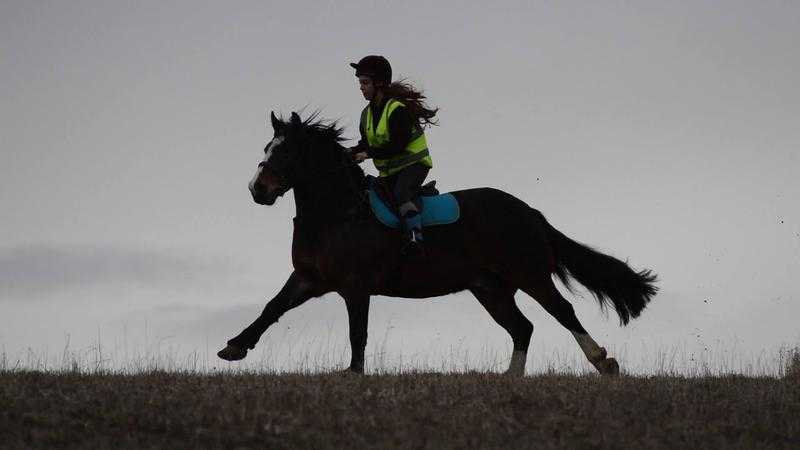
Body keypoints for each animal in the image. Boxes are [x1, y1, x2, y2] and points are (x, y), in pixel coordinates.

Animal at [217, 110, 656, 374]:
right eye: (266, 149)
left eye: (288, 151)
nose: (258, 189)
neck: (338, 213)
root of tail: (530, 213)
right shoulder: (308, 278)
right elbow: (272, 308)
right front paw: (234, 347)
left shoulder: (356, 288)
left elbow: (357, 332)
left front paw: (354, 374)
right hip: (490, 289)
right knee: (522, 328)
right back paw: (510, 377)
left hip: (529, 273)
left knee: (561, 311)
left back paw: (603, 362)